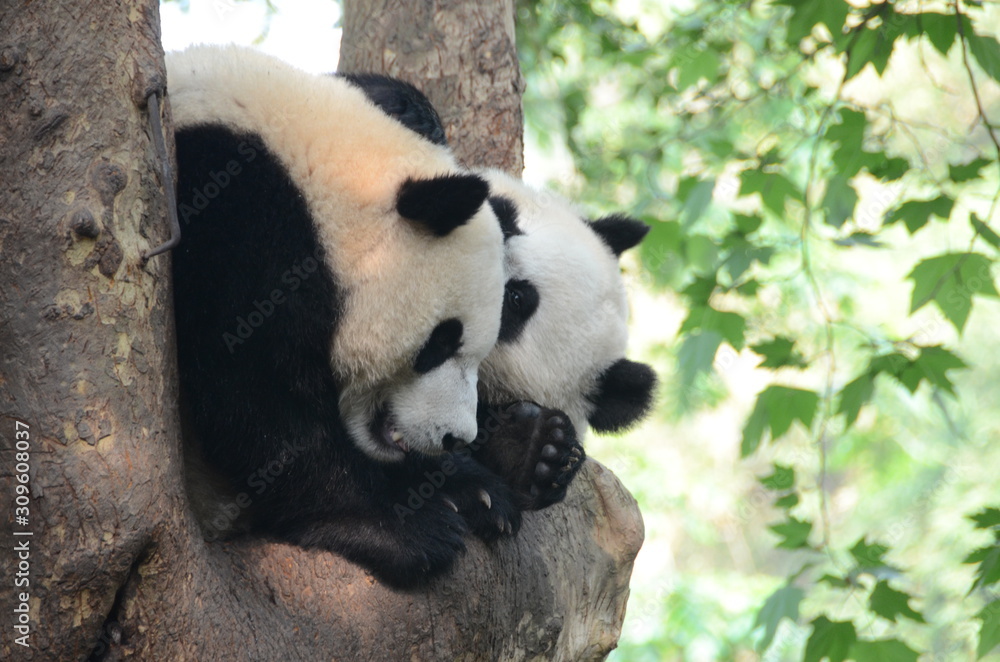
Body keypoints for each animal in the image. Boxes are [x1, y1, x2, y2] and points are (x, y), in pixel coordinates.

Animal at [168, 45, 529, 588]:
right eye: (441, 343)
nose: (455, 437)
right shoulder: (232, 221)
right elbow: (256, 396)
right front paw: (401, 531)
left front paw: (473, 490)